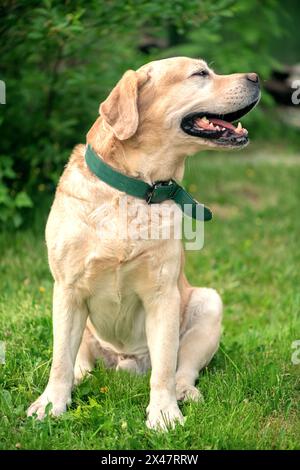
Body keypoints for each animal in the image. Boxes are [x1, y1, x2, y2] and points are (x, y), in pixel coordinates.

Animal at [27, 56, 258, 430]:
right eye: (200, 73)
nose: (255, 77)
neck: (136, 189)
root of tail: (125, 362)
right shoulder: (67, 290)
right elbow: (60, 359)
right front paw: (51, 404)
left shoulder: (163, 295)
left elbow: (164, 369)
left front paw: (163, 413)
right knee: (79, 360)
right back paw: (79, 377)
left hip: (209, 303)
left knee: (183, 368)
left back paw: (184, 392)